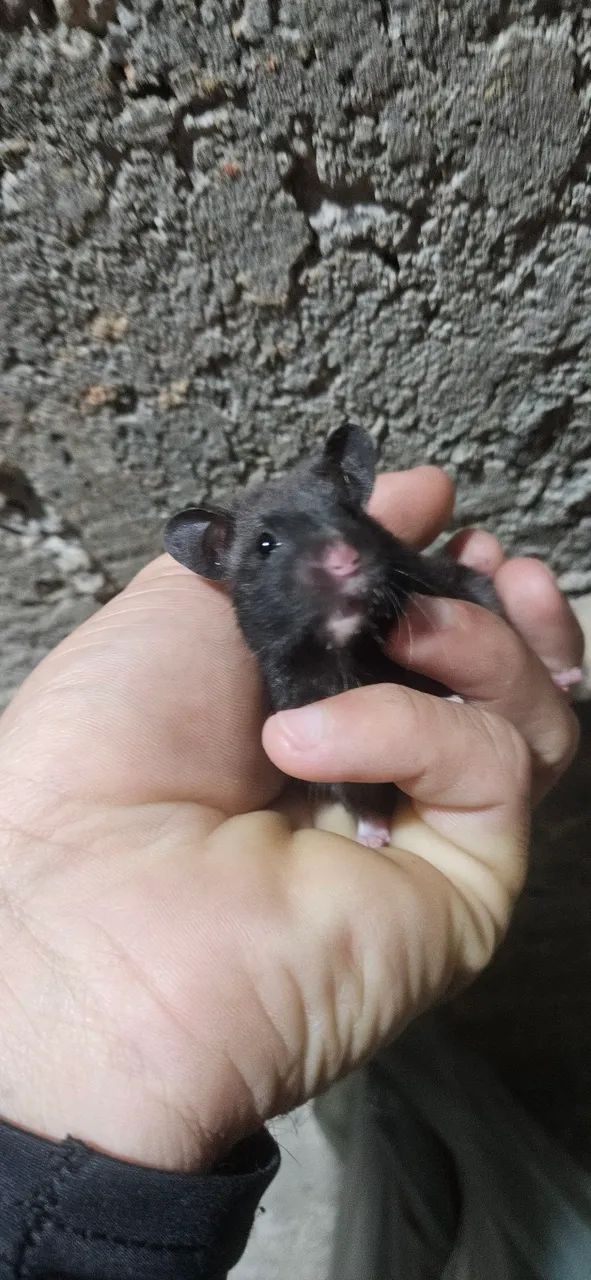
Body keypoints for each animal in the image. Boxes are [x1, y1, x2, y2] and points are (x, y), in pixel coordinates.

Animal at [164, 424, 500, 848]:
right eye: (265, 544)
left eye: (350, 512)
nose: (345, 561)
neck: (349, 650)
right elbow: (361, 795)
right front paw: (373, 838)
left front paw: (453, 700)